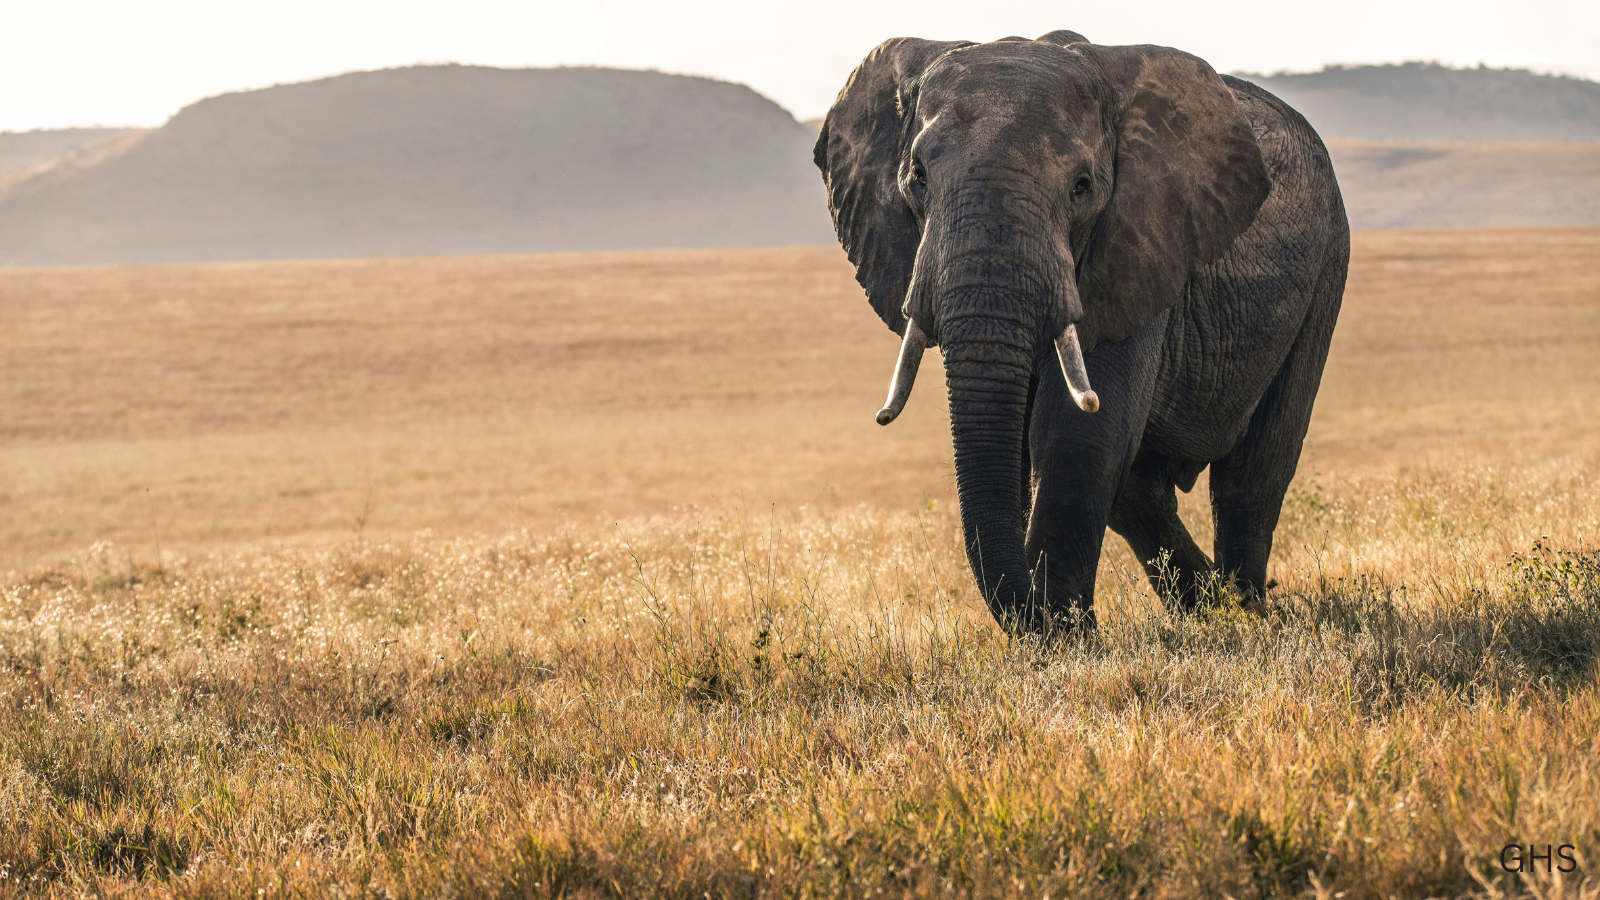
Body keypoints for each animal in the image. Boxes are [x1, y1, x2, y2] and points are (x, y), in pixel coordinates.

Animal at [814, 31, 1349, 635]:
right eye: (917, 177)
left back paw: (1246, 613)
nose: (1036, 614)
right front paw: (1061, 632)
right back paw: (1209, 609)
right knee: (1141, 492)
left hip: (1328, 263)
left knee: (1253, 474)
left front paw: (1067, 638)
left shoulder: (1138, 243)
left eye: (1082, 187)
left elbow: (1077, 434)